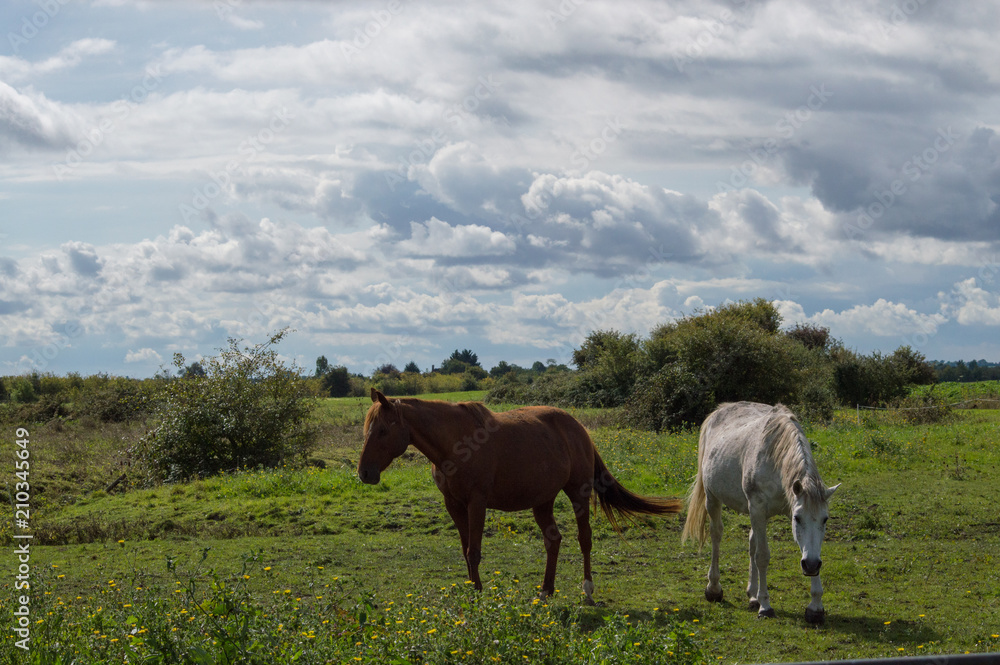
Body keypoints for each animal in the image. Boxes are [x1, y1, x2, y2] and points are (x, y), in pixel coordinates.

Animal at [358, 388, 682, 604]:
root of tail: (578, 428)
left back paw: (587, 590)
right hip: (543, 501)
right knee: (554, 540)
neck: (456, 444)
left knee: (584, 539)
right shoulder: (453, 504)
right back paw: (545, 591)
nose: (364, 473)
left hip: (577, 493)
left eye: (383, 430)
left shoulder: (477, 502)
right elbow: (465, 550)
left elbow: (474, 551)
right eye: (367, 430)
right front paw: (471, 591)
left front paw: (478, 595)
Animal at [681, 402, 839, 623]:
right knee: (716, 535)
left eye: (825, 520)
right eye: (797, 518)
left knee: (752, 542)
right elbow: (763, 555)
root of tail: (719, 410)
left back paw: (752, 595)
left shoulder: (773, 510)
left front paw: (815, 607)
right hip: (713, 499)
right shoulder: (757, 507)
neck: (775, 458)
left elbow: (807, 548)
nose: (810, 566)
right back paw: (714, 588)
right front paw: (765, 606)